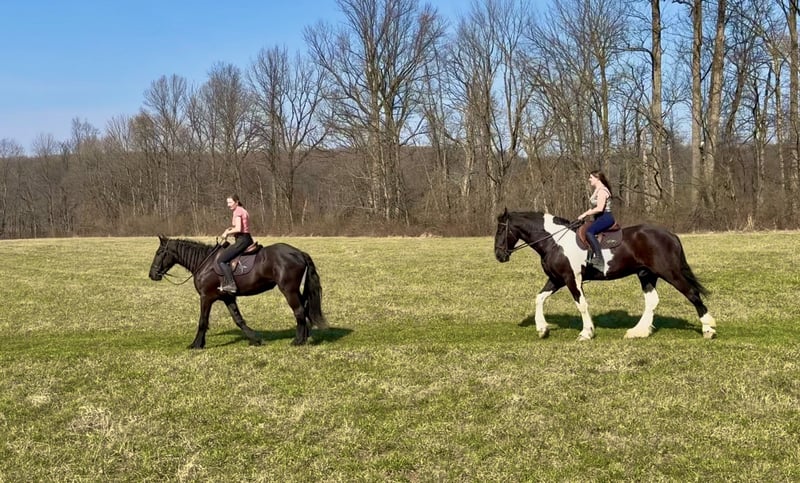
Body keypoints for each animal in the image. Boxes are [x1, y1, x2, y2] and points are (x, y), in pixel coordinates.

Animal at [148, 236, 327, 348]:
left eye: (159, 253)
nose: (152, 275)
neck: (204, 263)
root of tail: (298, 253)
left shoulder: (206, 297)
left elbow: (202, 321)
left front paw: (197, 344)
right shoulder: (228, 298)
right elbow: (239, 320)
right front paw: (256, 340)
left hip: (289, 290)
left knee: (299, 311)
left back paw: (298, 341)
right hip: (296, 290)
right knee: (304, 310)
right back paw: (305, 337)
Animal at [494, 209, 716, 341]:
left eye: (501, 230)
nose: (498, 255)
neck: (555, 242)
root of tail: (670, 235)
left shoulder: (571, 279)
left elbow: (581, 305)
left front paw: (586, 333)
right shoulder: (557, 279)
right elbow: (539, 298)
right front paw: (542, 329)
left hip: (670, 272)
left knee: (692, 294)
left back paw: (708, 329)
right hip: (647, 275)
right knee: (652, 301)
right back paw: (638, 331)